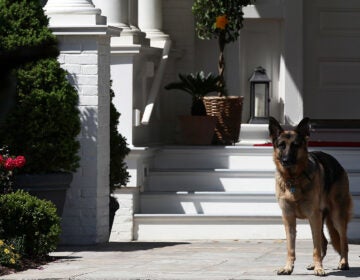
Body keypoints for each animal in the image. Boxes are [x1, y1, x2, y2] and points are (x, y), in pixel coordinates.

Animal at [268, 117, 352, 276]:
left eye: (295, 145)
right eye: (282, 145)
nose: (286, 160)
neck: (293, 179)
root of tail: (337, 162)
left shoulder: (313, 216)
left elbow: (315, 248)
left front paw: (319, 268)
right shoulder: (288, 218)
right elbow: (291, 248)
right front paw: (288, 268)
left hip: (336, 217)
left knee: (343, 241)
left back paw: (343, 263)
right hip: (320, 219)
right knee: (324, 241)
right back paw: (315, 265)